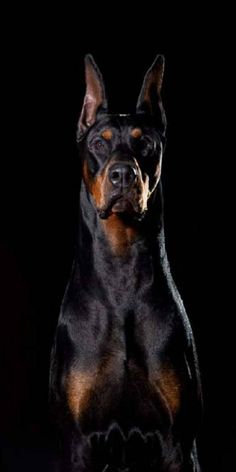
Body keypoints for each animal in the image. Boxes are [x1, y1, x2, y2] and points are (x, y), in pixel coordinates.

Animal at [48, 54, 202, 472]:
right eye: (99, 143)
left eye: (144, 142)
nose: (122, 175)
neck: (122, 272)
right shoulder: (80, 442)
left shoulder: (177, 441)